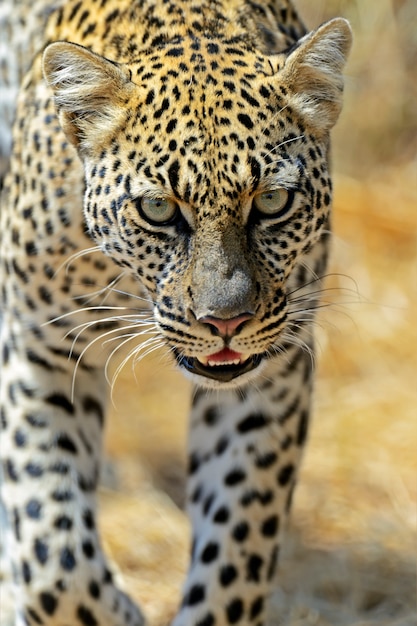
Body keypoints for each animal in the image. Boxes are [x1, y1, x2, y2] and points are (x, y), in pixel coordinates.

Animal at [0, 1, 352, 624]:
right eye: (159, 209)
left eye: (272, 201)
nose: (226, 321)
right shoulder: (38, 344)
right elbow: (52, 557)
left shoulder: (273, 371)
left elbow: (237, 546)